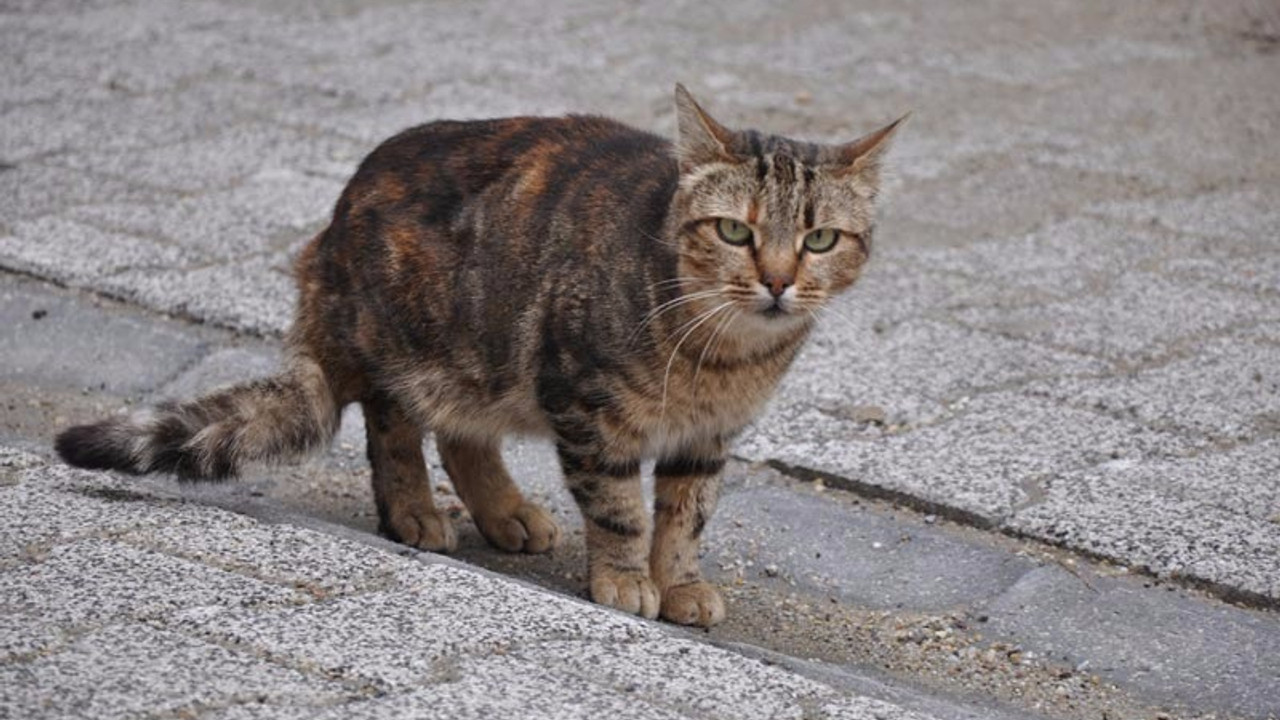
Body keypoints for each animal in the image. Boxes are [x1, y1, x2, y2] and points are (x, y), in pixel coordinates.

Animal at [57, 82, 901, 622]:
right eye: (734, 230)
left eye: (820, 239)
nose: (778, 281)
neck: (721, 358)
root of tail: (330, 229)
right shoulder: (585, 402)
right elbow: (621, 509)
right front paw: (627, 578)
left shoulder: (705, 439)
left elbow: (686, 517)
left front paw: (680, 581)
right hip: (412, 341)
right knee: (395, 427)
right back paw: (415, 512)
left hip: (481, 362)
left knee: (464, 437)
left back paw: (506, 512)